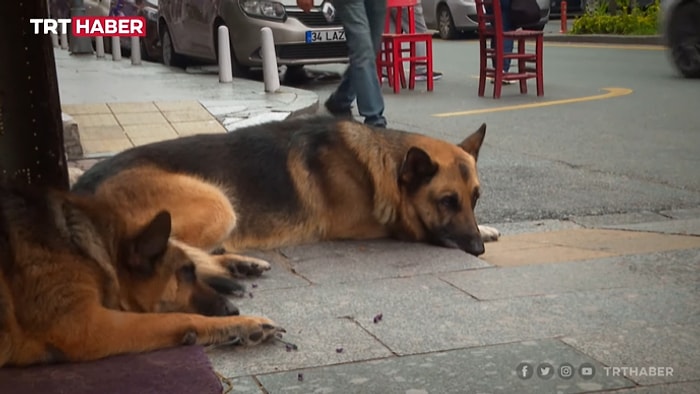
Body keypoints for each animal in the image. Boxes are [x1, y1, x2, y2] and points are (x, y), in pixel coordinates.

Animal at [3, 186, 282, 368]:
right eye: (185, 272)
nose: (232, 309)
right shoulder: (87, 326)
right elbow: (179, 318)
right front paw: (243, 324)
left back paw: (242, 264)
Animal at [72, 117, 498, 280]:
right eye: (447, 201)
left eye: (475, 198)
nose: (477, 251)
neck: (383, 163)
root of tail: (78, 189)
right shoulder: (371, 224)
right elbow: (412, 226)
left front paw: (489, 228)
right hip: (218, 203)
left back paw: (237, 263)